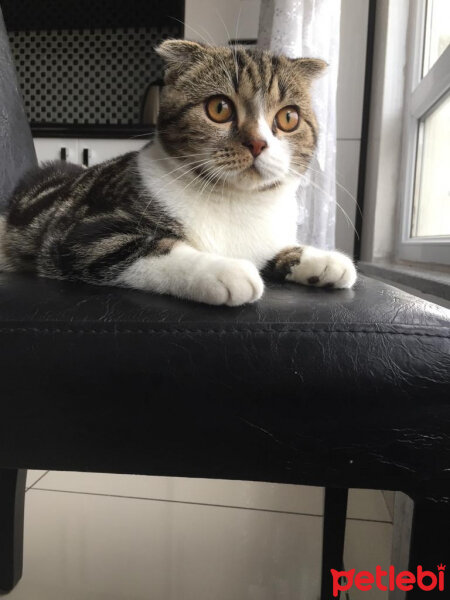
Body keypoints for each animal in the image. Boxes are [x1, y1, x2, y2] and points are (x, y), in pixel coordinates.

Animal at [0, 39, 358, 308]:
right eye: (219, 108)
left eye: (288, 118)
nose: (257, 143)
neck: (235, 202)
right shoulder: (83, 233)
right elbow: (154, 247)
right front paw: (222, 269)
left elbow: (274, 248)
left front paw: (323, 260)